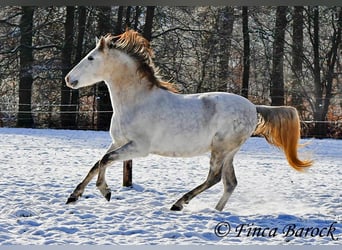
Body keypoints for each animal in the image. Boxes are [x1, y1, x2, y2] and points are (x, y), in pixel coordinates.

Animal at [65, 28, 312, 211]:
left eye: (90, 57)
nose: (69, 79)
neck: (137, 101)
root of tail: (253, 107)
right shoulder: (119, 142)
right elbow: (99, 161)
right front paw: (74, 196)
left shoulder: (139, 148)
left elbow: (105, 160)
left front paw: (105, 191)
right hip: (229, 152)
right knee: (230, 183)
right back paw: (215, 211)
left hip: (221, 149)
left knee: (214, 178)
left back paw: (179, 203)